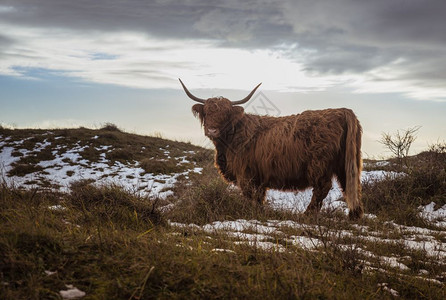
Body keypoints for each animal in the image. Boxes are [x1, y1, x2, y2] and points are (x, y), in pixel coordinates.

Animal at [179, 79, 364, 220]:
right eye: (207, 112)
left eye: (226, 114)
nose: (212, 131)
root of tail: (342, 111)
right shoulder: (259, 176)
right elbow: (259, 196)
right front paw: (259, 211)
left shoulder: (244, 173)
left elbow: (249, 195)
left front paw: (249, 212)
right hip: (347, 163)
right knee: (350, 185)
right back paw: (354, 215)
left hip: (319, 165)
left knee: (322, 188)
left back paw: (307, 215)